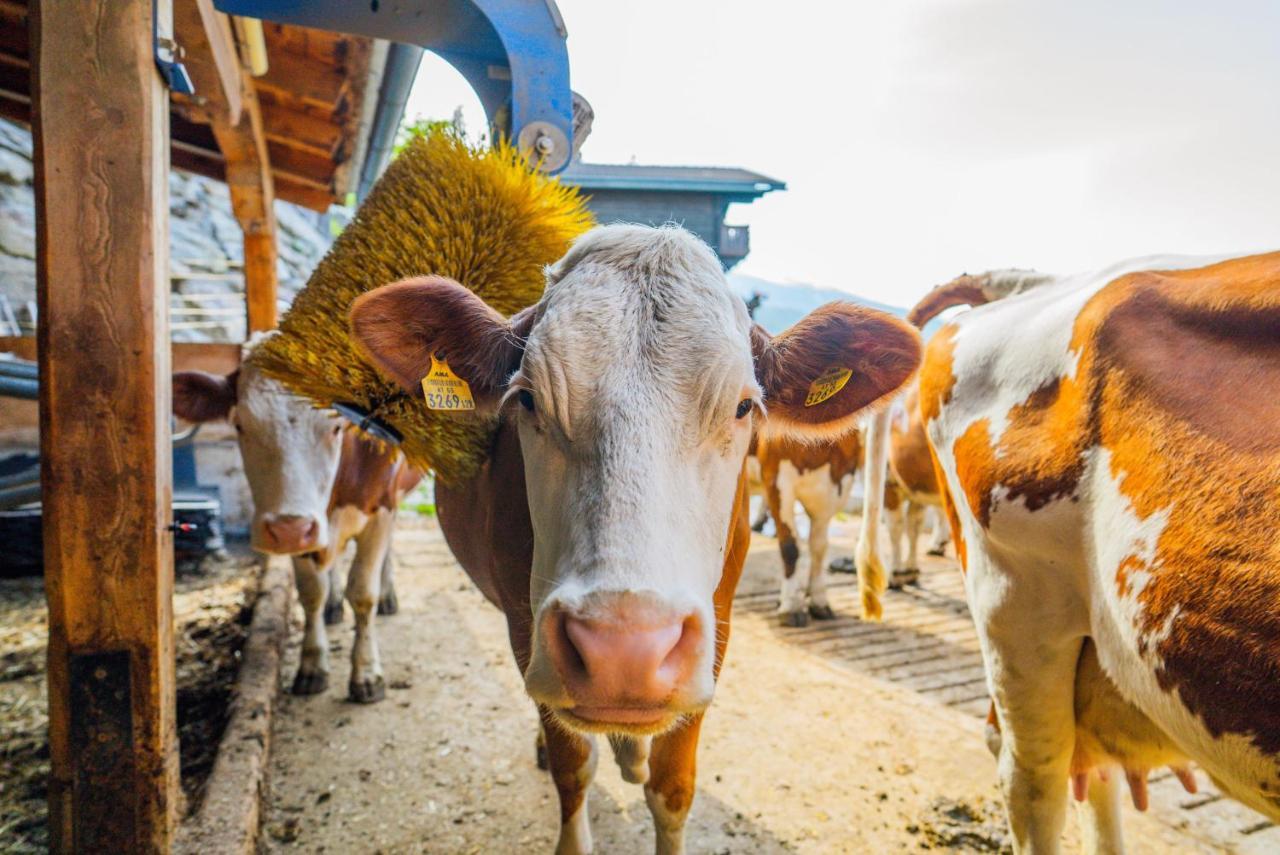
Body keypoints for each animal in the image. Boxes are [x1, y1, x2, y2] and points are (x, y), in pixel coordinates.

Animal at [170, 337, 417, 706]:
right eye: (240, 425)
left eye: (336, 426)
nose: (288, 530)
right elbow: (311, 593)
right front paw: (312, 665)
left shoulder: (380, 508)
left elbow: (363, 593)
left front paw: (366, 673)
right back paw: (333, 604)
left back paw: (388, 595)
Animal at [757, 430, 860, 624]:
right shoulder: (775, 478)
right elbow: (790, 547)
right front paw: (790, 606)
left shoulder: (836, 482)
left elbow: (819, 547)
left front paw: (819, 601)